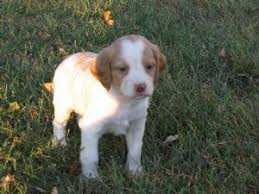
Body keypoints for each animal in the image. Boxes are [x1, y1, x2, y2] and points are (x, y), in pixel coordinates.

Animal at [52, 34, 167, 177]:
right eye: (122, 69)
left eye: (149, 66)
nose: (141, 87)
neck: (123, 100)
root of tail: (70, 57)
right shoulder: (90, 129)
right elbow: (90, 156)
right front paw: (91, 177)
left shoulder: (137, 125)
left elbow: (135, 151)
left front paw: (134, 171)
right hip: (63, 104)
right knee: (58, 123)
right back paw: (60, 142)